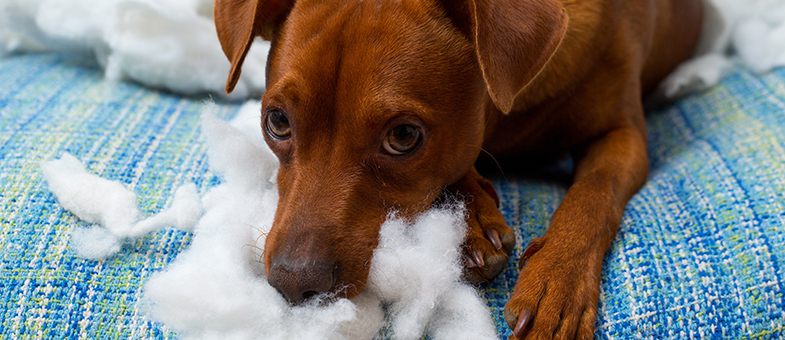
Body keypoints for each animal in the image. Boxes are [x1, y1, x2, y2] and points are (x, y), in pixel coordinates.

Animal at [213, 1, 700, 338]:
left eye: (403, 136)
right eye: (277, 122)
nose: (294, 283)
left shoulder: (624, 137)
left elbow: (594, 193)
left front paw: (557, 282)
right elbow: (459, 164)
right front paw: (471, 223)